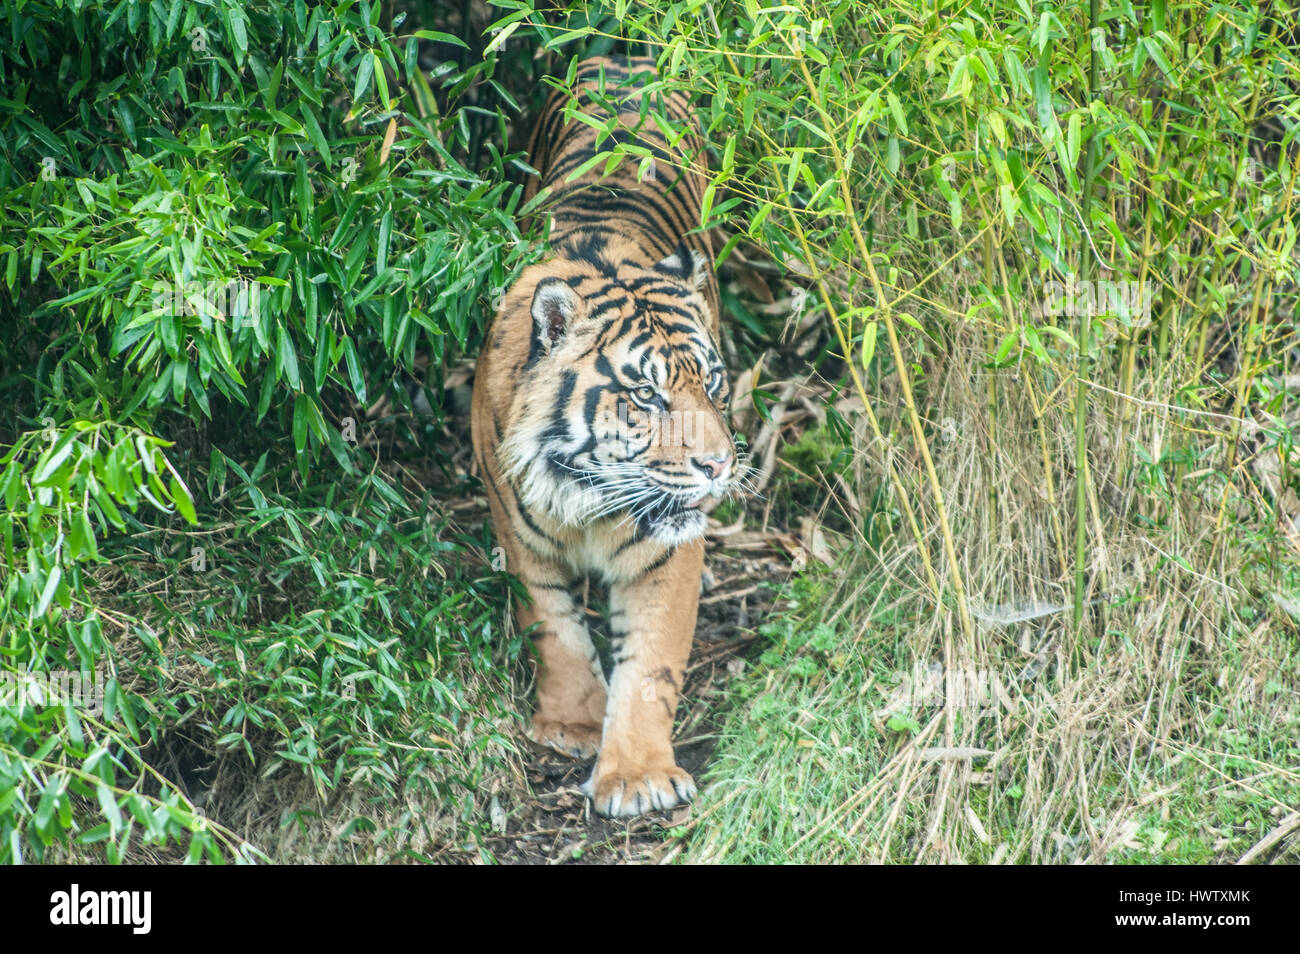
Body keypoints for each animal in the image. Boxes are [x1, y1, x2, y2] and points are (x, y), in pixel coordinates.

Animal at [475, 52, 743, 816]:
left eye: (712, 383)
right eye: (647, 396)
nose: (719, 466)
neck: (590, 487)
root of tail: (628, 54)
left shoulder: (666, 550)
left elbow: (651, 660)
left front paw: (637, 775)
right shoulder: (521, 533)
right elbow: (553, 630)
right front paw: (571, 724)